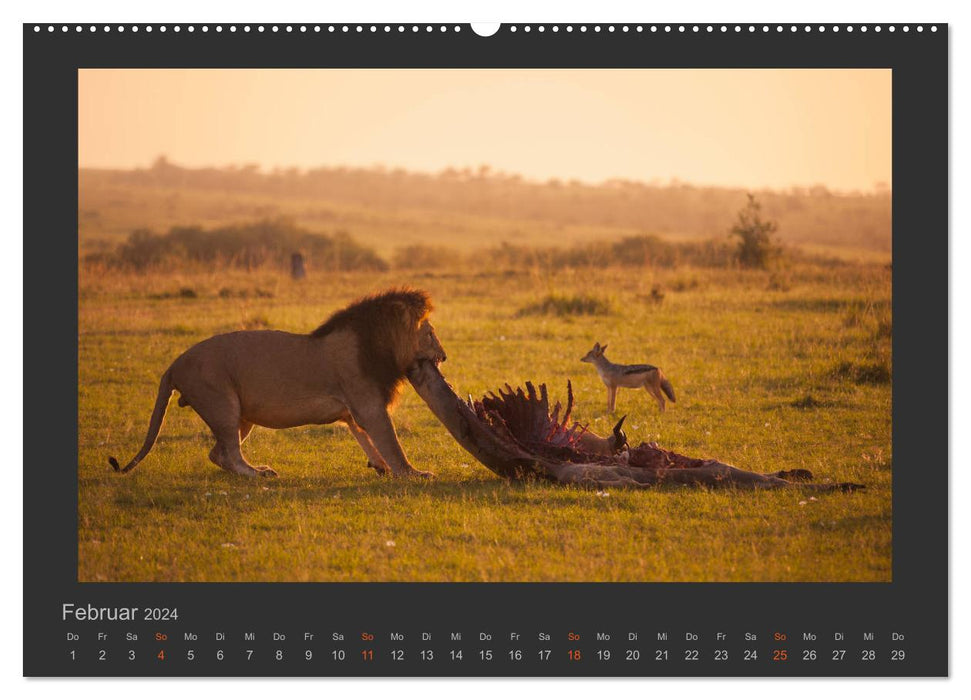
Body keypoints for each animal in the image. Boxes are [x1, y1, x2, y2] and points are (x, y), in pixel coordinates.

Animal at [111, 288, 448, 478]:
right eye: (430, 333)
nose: (444, 357)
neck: (381, 343)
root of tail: (174, 363)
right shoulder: (368, 403)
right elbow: (391, 443)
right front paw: (412, 473)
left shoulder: (355, 409)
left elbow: (365, 438)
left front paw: (380, 466)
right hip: (222, 403)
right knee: (230, 453)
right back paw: (257, 473)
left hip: (240, 415)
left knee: (217, 453)